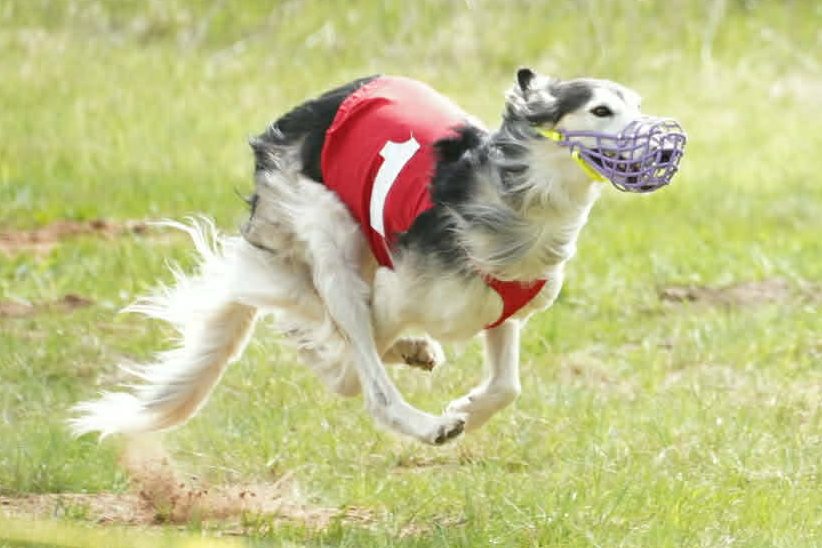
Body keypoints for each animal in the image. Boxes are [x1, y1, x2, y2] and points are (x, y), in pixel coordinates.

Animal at [70, 68, 685, 446]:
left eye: (637, 105)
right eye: (601, 110)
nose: (665, 149)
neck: (519, 205)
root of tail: (292, 119)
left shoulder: (502, 307)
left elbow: (507, 386)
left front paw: (468, 407)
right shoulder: (393, 293)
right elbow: (346, 365)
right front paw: (444, 413)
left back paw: (416, 356)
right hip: (333, 238)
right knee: (351, 365)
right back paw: (424, 420)